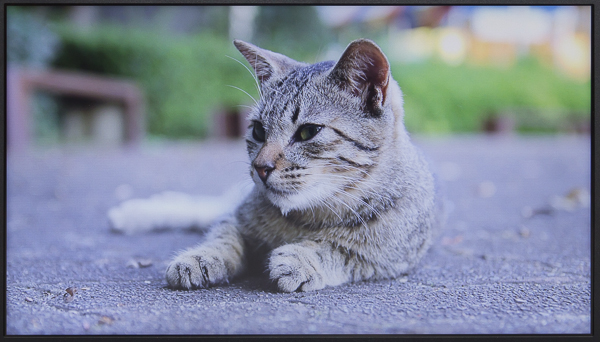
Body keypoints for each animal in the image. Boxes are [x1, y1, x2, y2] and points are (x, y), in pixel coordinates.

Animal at [156, 38, 446, 294]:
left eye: (308, 132)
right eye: (258, 131)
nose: (260, 167)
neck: (304, 218)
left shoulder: (385, 259)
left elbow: (335, 248)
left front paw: (300, 258)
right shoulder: (236, 218)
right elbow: (224, 236)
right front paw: (200, 257)